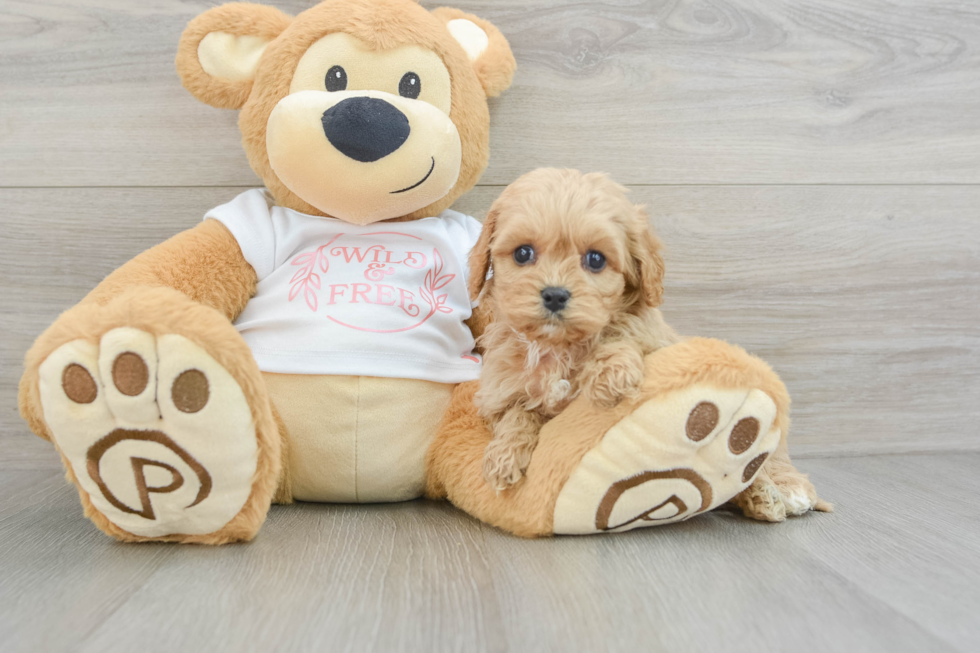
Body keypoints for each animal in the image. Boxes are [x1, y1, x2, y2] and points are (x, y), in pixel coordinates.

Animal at [470, 168, 676, 488]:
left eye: (596, 259)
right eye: (522, 253)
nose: (555, 295)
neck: (555, 346)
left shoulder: (656, 337)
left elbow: (627, 331)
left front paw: (609, 374)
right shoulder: (497, 394)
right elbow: (517, 413)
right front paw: (504, 456)